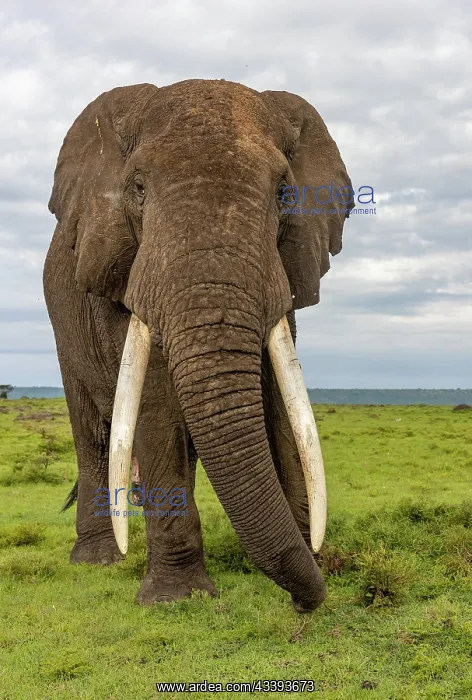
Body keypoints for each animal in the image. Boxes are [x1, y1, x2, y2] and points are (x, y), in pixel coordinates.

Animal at [43, 79, 353, 612]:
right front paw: (176, 600)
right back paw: (99, 561)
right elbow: (156, 405)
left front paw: (308, 559)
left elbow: (279, 399)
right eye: (137, 189)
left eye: (284, 192)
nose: (305, 603)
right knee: (94, 432)